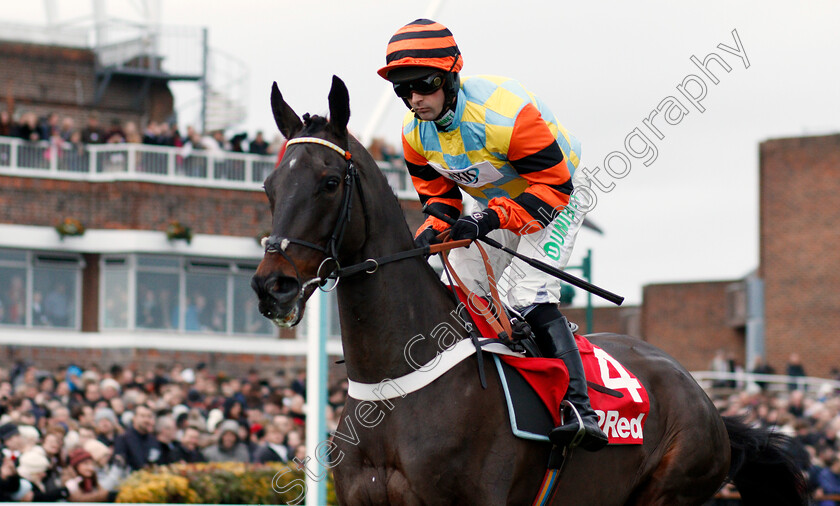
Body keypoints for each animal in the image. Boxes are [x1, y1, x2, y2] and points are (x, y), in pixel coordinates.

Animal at [251, 76, 808, 506]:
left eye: (328, 182)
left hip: (669, 489)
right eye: (269, 187)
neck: (395, 386)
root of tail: (706, 400)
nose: (272, 286)